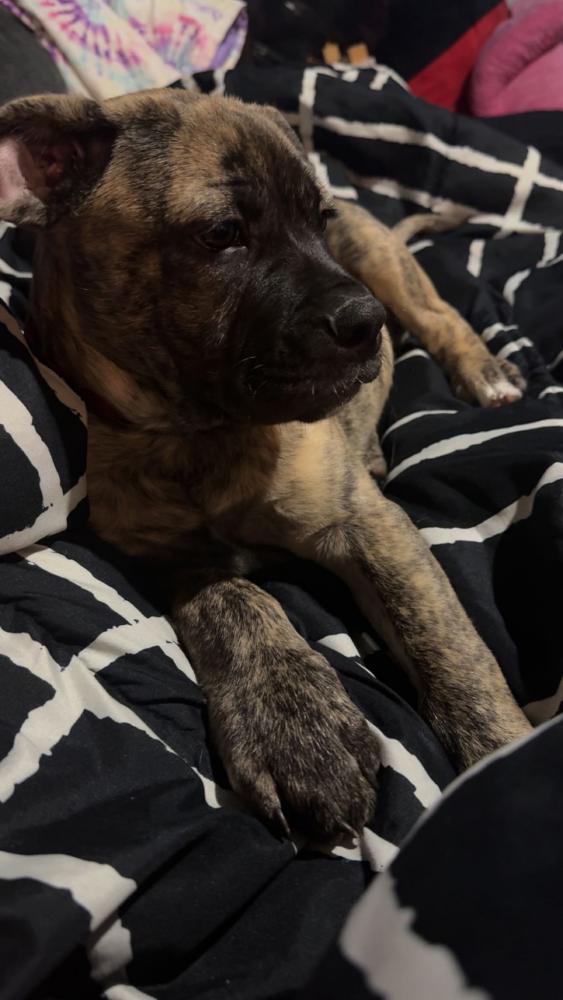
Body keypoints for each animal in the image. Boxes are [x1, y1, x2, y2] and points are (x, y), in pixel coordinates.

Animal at [0, 88, 532, 841]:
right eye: (223, 233)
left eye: (318, 220)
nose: (365, 324)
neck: (199, 435)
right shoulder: (160, 553)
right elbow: (234, 602)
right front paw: (291, 719)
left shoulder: (369, 528)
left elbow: (453, 654)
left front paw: (502, 763)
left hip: (382, 261)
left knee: (438, 315)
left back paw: (482, 372)